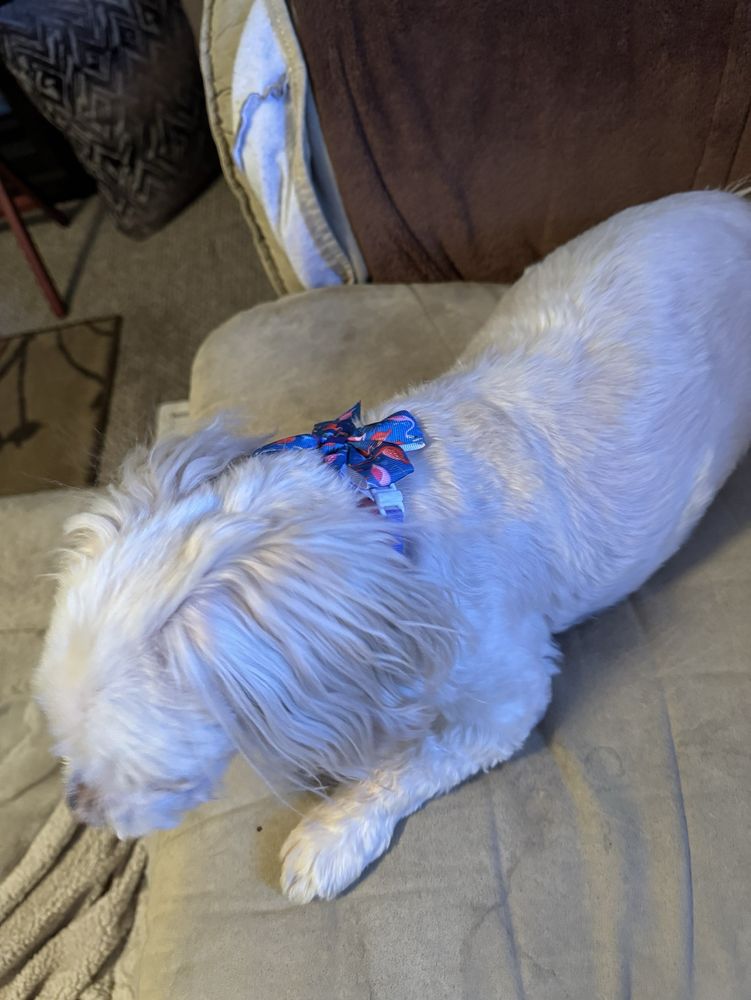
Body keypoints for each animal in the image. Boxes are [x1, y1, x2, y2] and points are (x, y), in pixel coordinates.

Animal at [36, 191, 751, 903]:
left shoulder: (506, 693)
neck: (374, 501)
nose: (77, 808)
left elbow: (413, 760)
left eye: (151, 780)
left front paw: (329, 835)